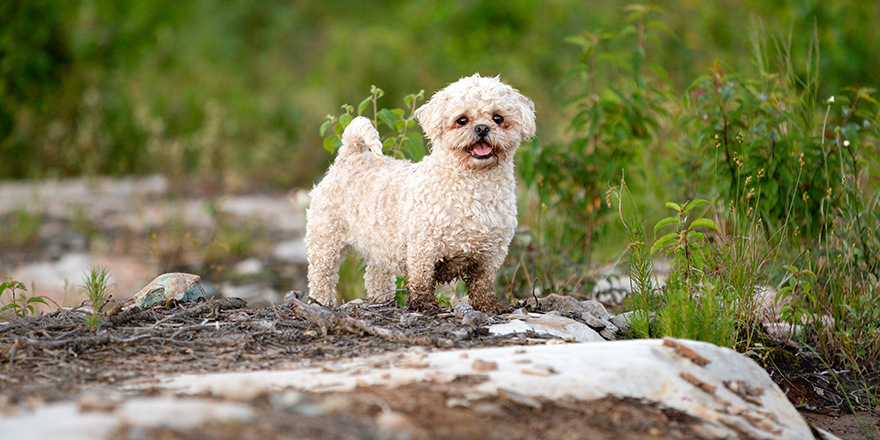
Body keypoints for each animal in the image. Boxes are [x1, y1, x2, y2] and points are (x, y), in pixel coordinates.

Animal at [302, 74, 536, 312]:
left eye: (498, 118)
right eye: (462, 120)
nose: (482, 128)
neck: (474, 187)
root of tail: (350, 154)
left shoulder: (492, 253)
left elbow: (483, 283)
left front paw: (488, 305)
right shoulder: (423, 246)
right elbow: (422, 279)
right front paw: (423, 304)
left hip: (378, 245)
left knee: (376, 276)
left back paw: (382, 300)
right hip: (326, 239)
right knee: (321, 275)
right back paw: (321, 302)